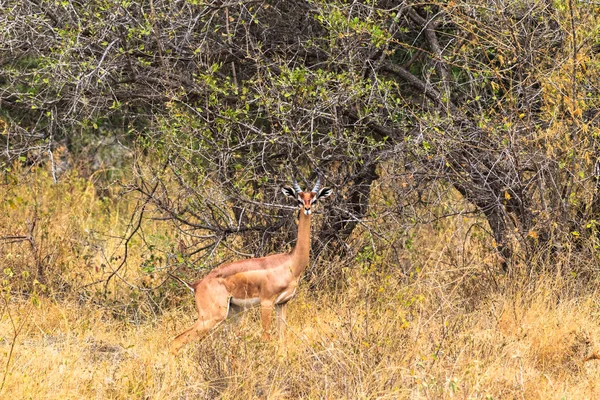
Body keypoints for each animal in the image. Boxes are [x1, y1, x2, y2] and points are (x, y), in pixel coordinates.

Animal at [170, 177, 332, 354]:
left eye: (314, 199)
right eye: (298, 200)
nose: (307, 209)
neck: (290, 263)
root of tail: (196, 285)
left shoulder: (282, 303)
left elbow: (282, 338)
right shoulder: (266, 302)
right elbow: (266, 337)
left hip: (233, 313)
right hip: (212, 316)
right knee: (177, 340)